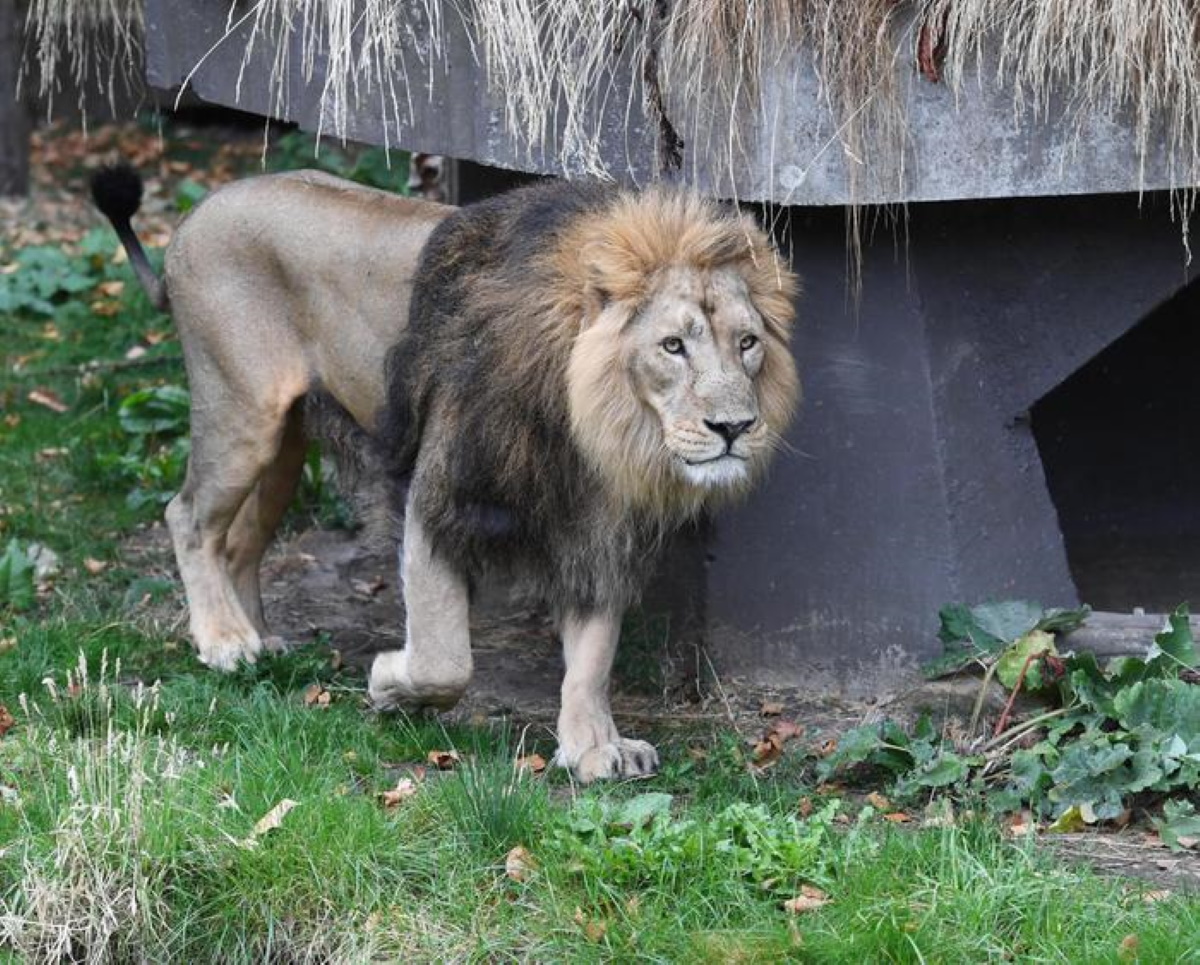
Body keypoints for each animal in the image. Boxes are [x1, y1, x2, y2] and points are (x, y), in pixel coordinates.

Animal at [91, 167, 800, 782]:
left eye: (747, 343)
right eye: (672, 346)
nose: (735, 427)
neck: (592, 426)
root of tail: (195, 215)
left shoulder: (597, 527)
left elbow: (593, 654)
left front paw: (594, 746)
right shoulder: (440, 496)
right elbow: (445, 660)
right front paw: (389, 685)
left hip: (284, 444)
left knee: (238, 541)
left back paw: (258, 638)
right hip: (242, 414)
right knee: (187, 516)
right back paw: (224, 641)